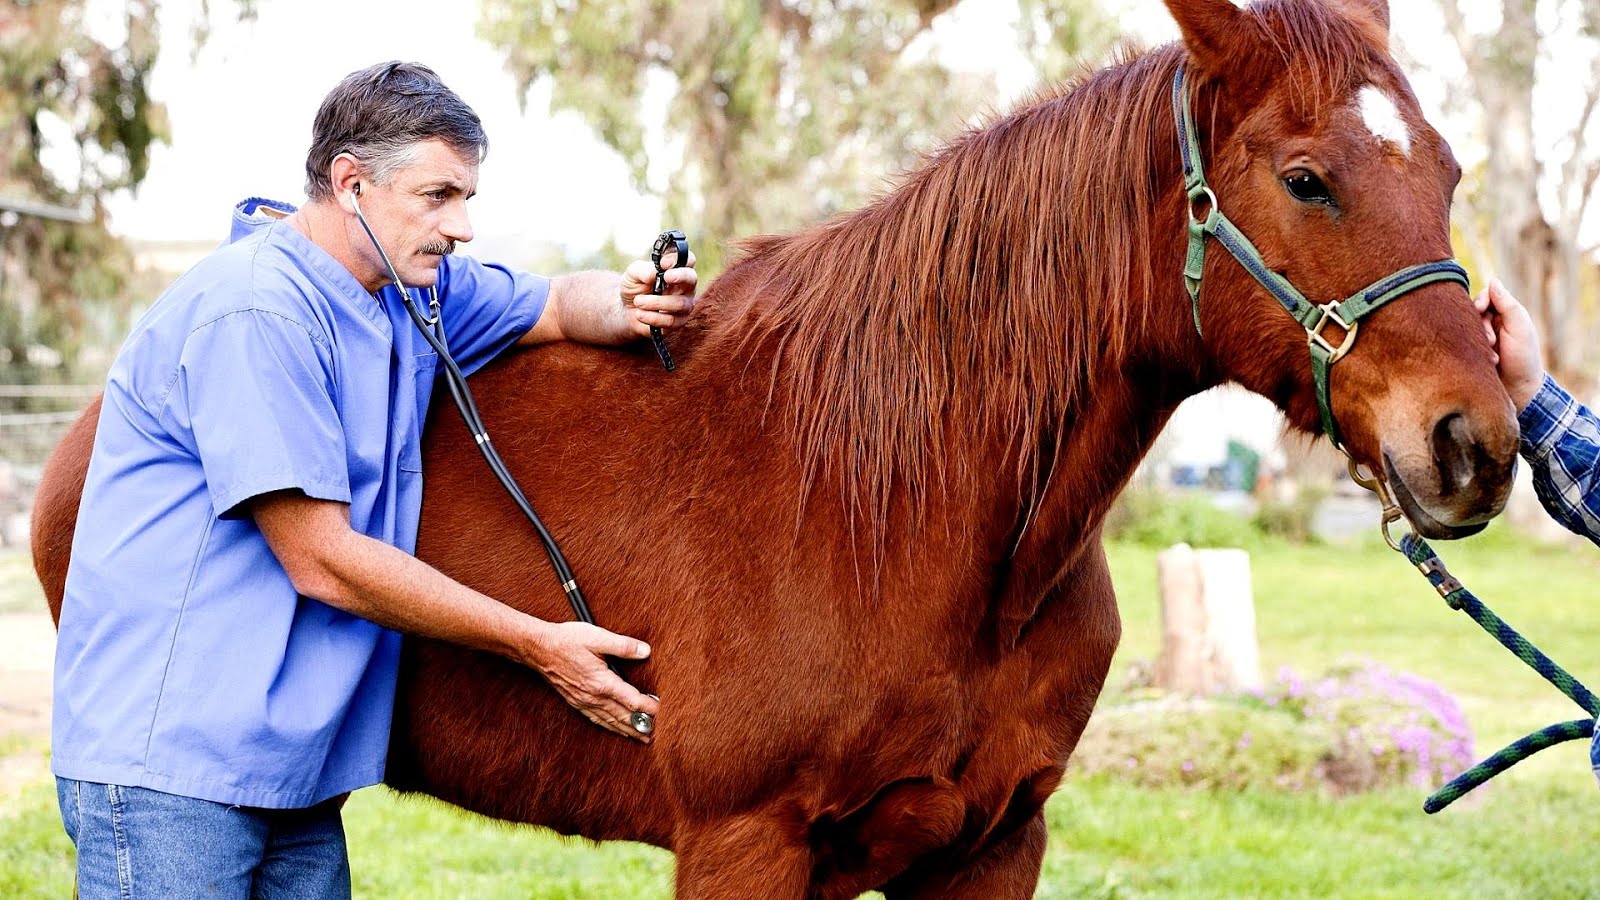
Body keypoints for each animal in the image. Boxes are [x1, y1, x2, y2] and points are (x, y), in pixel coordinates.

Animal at [32, 0, 1518, 896]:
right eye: (1307, 178)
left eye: (1450, 171)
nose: (1477, 445)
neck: (896, 508)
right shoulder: (744, 843)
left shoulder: (992, 845)